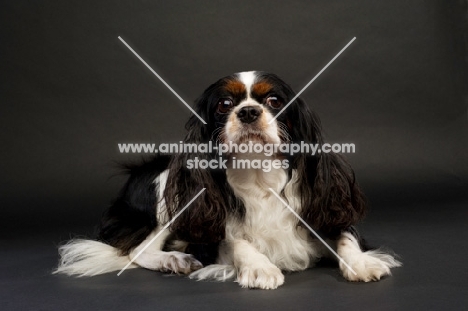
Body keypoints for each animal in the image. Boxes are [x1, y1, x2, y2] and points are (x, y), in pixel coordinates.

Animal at [54, 70, 398, 290]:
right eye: (224, 105)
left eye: (275, 101)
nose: (247, 111)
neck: (259, 173)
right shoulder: (213, 225)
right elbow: (236, 240)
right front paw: (260, 267)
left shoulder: (325, 209)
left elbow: (346, 234)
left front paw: (361, 263)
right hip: (166, 187)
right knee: (138, 250)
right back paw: (174, 259)